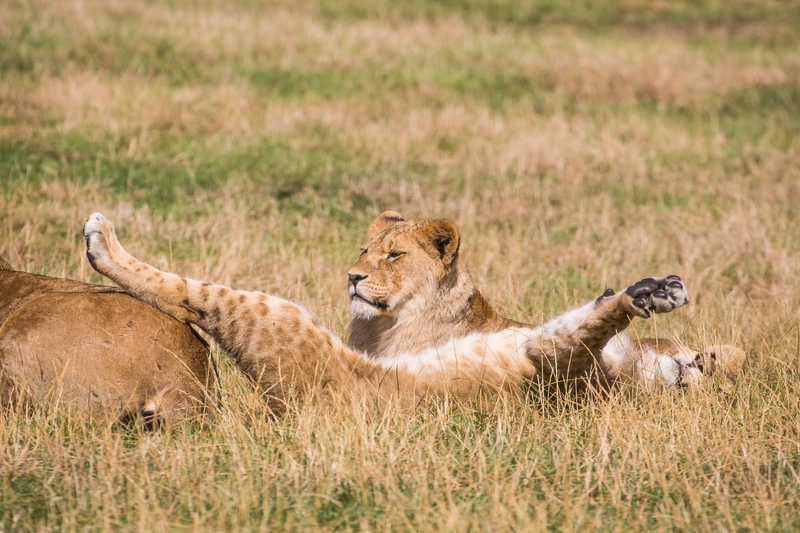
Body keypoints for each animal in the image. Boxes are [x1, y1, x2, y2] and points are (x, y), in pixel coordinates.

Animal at [81, 210, 744, 414]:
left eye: (392, 256)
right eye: (365, 251)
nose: (353, 275)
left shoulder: (548, 361)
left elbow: (592, 323)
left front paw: (644, 296)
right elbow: (598, 312)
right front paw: (654, 289)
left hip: (279, 321)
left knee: (190, 291)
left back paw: (101, 239)